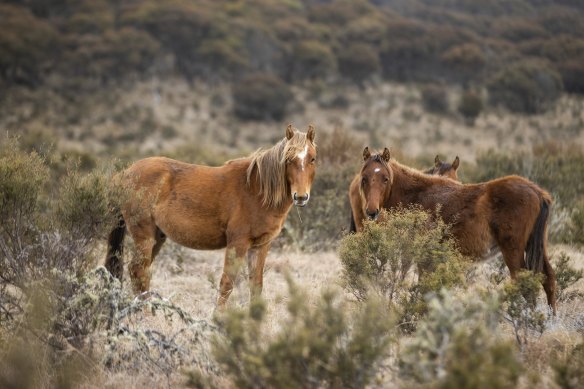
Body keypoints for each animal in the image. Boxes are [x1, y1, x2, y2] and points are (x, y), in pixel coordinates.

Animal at [105, 124, 314, 306]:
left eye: (312, 159)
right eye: (289, 159)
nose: (301, 196)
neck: (256, 190)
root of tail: (125, 173)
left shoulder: (260, 246)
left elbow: (256, 286)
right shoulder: (238, 243)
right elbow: (227, 283)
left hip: (158, 237)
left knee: (140, 271)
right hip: (144, 235)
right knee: (138, 271)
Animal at [350, 146, 560, 312]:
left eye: (385, 178)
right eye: (364, 178)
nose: (371, 211)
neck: (419, 195)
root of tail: (538, 192)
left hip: (513, 251)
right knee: (548, 279)